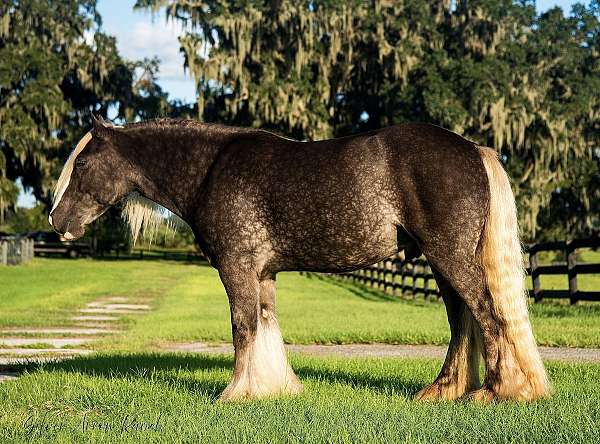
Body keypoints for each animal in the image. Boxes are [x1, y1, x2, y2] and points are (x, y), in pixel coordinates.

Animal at [49, 114, 552, 402]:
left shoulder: (236, 268)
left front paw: (235, 393)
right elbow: (266, 325)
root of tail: (474, 148)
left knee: (487, 315)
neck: (211, 169)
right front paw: (274, 388)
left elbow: (243, 326)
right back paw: (442, 391)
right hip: (442, 261)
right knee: (462, 321)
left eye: (82, 163)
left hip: (449, 257)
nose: (58, 220)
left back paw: (496, 393)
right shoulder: (263, 273)